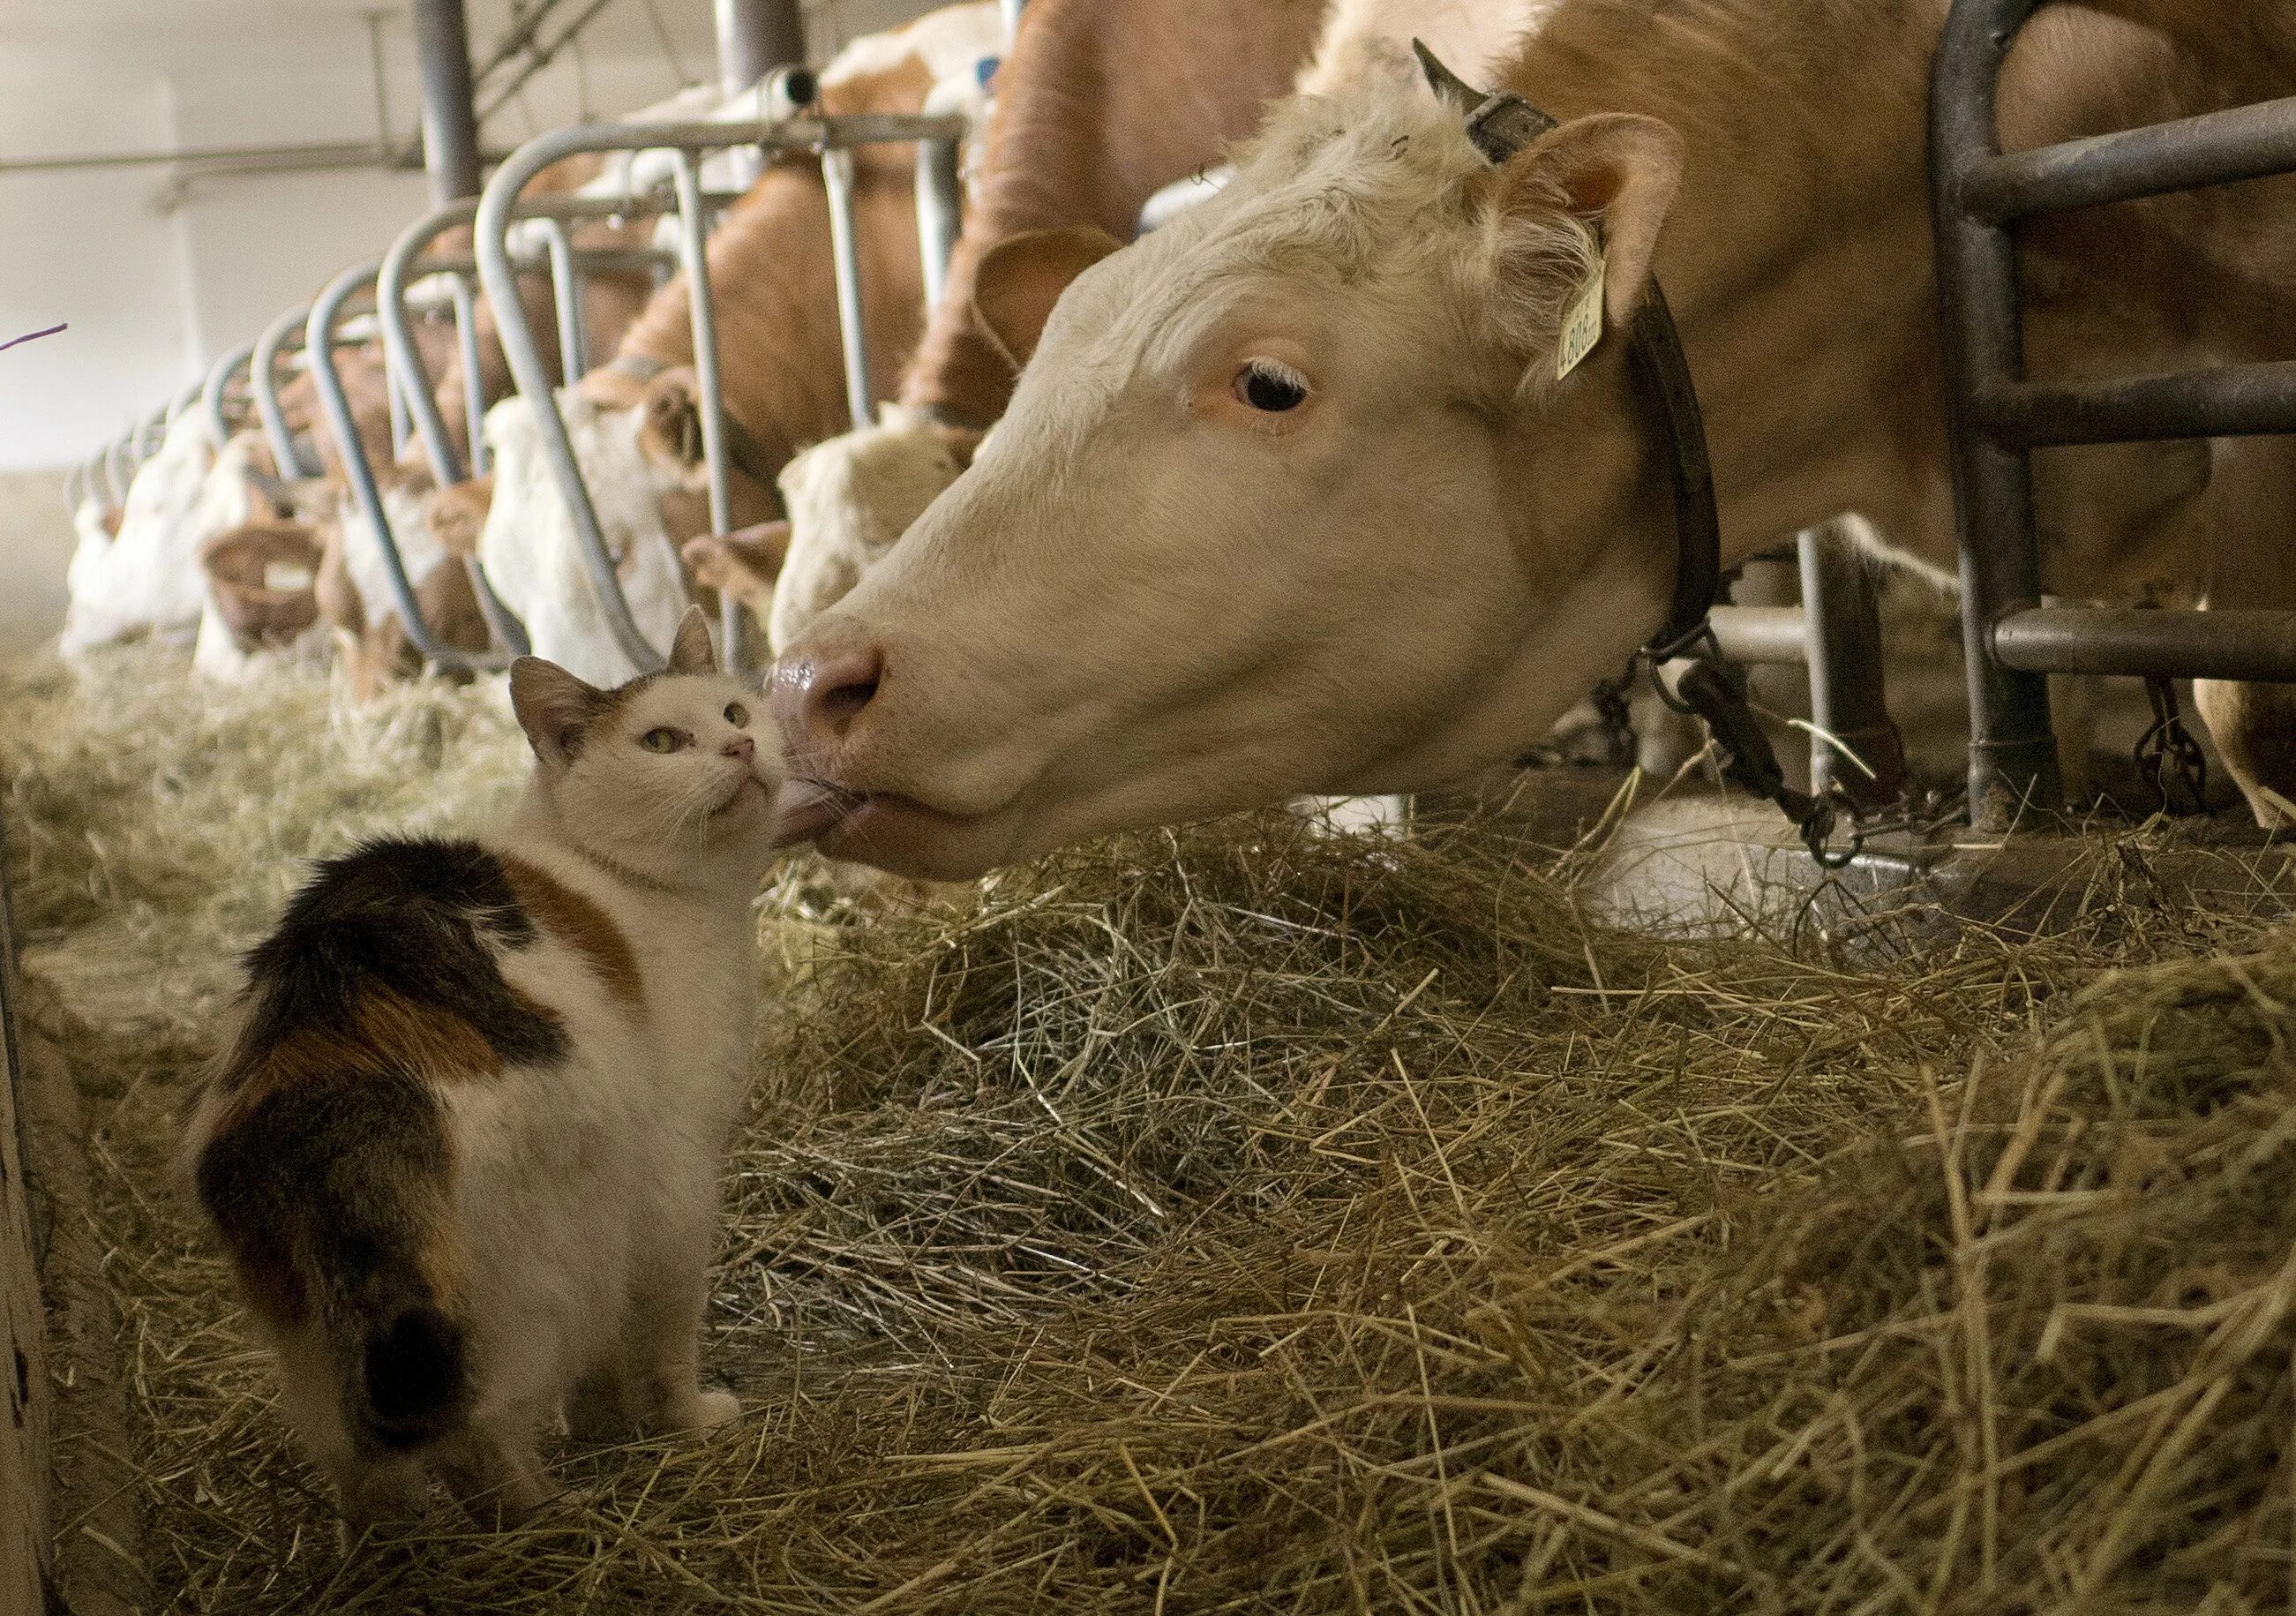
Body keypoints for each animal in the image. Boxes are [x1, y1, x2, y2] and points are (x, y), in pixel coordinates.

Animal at [184, 610, 790, 1542]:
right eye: (661, 741)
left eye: (733, 708)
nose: (741, 744)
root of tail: (322, 1056)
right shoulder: (674, 1179)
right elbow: (661, 1334)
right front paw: (683, 1420)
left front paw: (605, 1424)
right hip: (539, 1267)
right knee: (480, 1429)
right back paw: (545, 1515)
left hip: (327, 1338)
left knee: (358, 1455)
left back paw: (393, 1546)